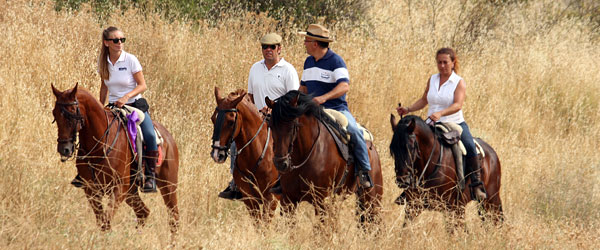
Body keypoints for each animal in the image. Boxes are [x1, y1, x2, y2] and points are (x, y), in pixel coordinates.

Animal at [51, 83, 179, 232]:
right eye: (55, 114)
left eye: (71, 114)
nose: (64, 149)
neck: (101, 143)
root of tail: (170, 138)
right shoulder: (91, 189)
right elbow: (101, 222)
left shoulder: (119, 188)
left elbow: (106, 222)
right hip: (131, 191)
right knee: (143, 212)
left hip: (168, 185)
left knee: (174, 218)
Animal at [264, 91, 382, 226]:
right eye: (271, 125)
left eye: (293, 125)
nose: (280, 163)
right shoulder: (288, 200)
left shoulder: (321, 200)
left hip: (373, 199)